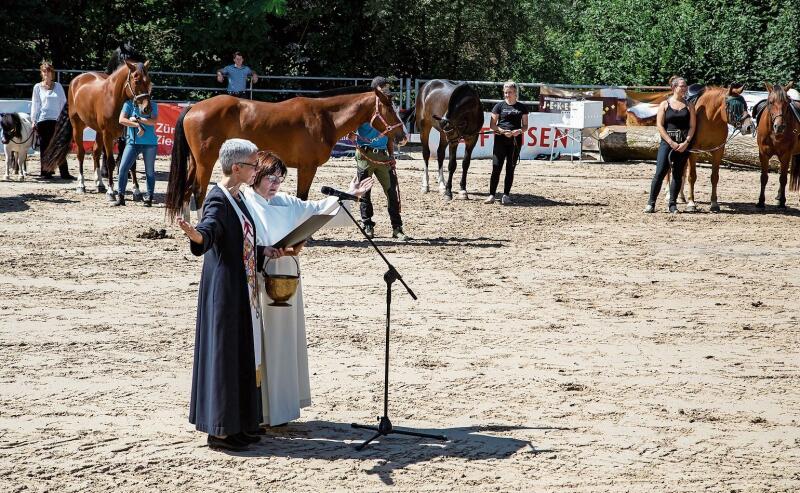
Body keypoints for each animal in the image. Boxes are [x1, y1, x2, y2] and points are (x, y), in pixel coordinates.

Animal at [41, 55, 153, 198]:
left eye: (148, 81)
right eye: (137, 80)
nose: (146, 109)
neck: (114, 98)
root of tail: (76, 81)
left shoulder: (126, 134)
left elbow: (131, 163)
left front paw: (136, 191)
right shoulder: (108, 134)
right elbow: (110, 161)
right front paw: (111, 191)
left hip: (99, 131)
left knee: (95, 152)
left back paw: (99, 184)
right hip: (78, 127)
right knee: (81, 153)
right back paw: (81, 185)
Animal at [166, 89, 410, 219]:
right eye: (389, 109)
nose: (403, 136)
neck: (325, 118)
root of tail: (194, 107)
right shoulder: (307, 167)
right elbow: (302, 197)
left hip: (195, 162)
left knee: (186, 189)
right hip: (206, 162)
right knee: (198, 191)